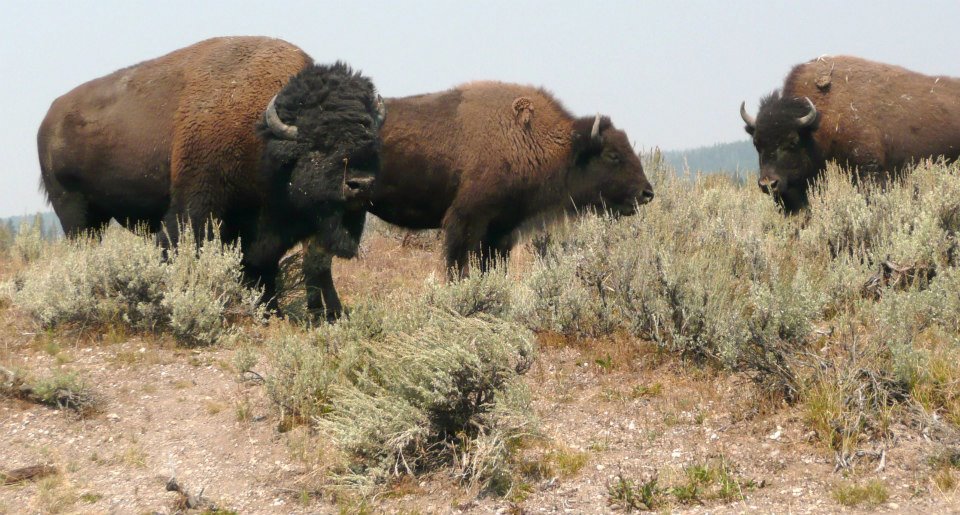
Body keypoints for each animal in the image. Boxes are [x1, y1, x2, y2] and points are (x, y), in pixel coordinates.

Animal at [37, 36, 384, 312]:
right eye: (318, 144)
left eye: (371, 142)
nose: (360, 184)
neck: (262, 136)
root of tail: (49, 119)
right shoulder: (196, 207)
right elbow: (182, 246)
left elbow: (266, 268)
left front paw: (271, 310)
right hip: (74, 210)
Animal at [303, 81, 654, 318]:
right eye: (612, 155)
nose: (647, 193)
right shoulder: (466, 221)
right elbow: (459, 266)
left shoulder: (501, 231)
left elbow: (492, 268)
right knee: (318, 261)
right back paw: (331, 314)